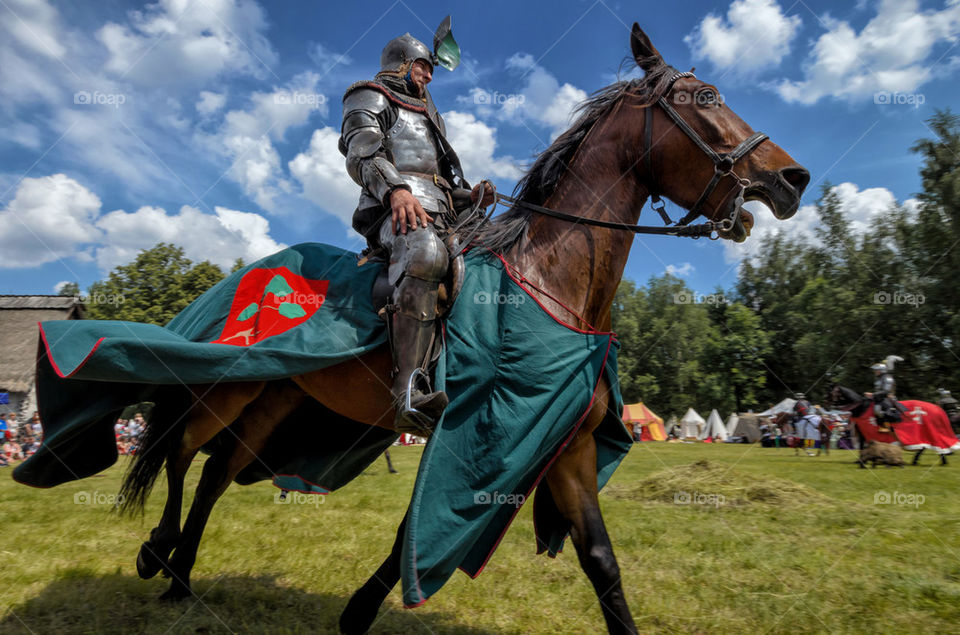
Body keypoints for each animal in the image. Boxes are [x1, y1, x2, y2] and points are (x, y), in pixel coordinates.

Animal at [120, 22, 808, 632]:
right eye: (704, 98)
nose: (791, 179)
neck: (550, 281)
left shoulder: (568, 449)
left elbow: (601, 562)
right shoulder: (476, 435)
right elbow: (414, 532)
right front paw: (357, 614)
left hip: (277, 399)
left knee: (215, 472)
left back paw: (180, 576)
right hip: (229, 385)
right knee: (181, 451)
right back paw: (157, 553)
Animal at [824, 386, 960, 464]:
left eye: (832, 393)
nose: (825, 402)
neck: (862, 407)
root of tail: (938, 409)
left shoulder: (866, 433)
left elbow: (864, 446)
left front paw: (862, 460)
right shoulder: (862, 433)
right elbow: (863, 446)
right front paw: (861, 460)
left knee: (934, 445)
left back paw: (939, 460)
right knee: (926, 447)